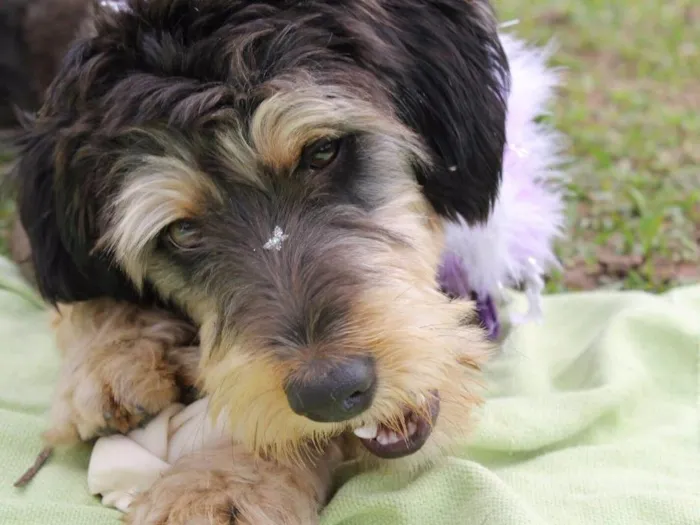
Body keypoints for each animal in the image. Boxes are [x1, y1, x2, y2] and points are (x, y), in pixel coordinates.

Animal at [13, 1, 512, 520]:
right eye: (182, 232)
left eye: (323, 151)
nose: (330, 391)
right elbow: (80, 300)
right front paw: (111, 361)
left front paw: (223, 480)